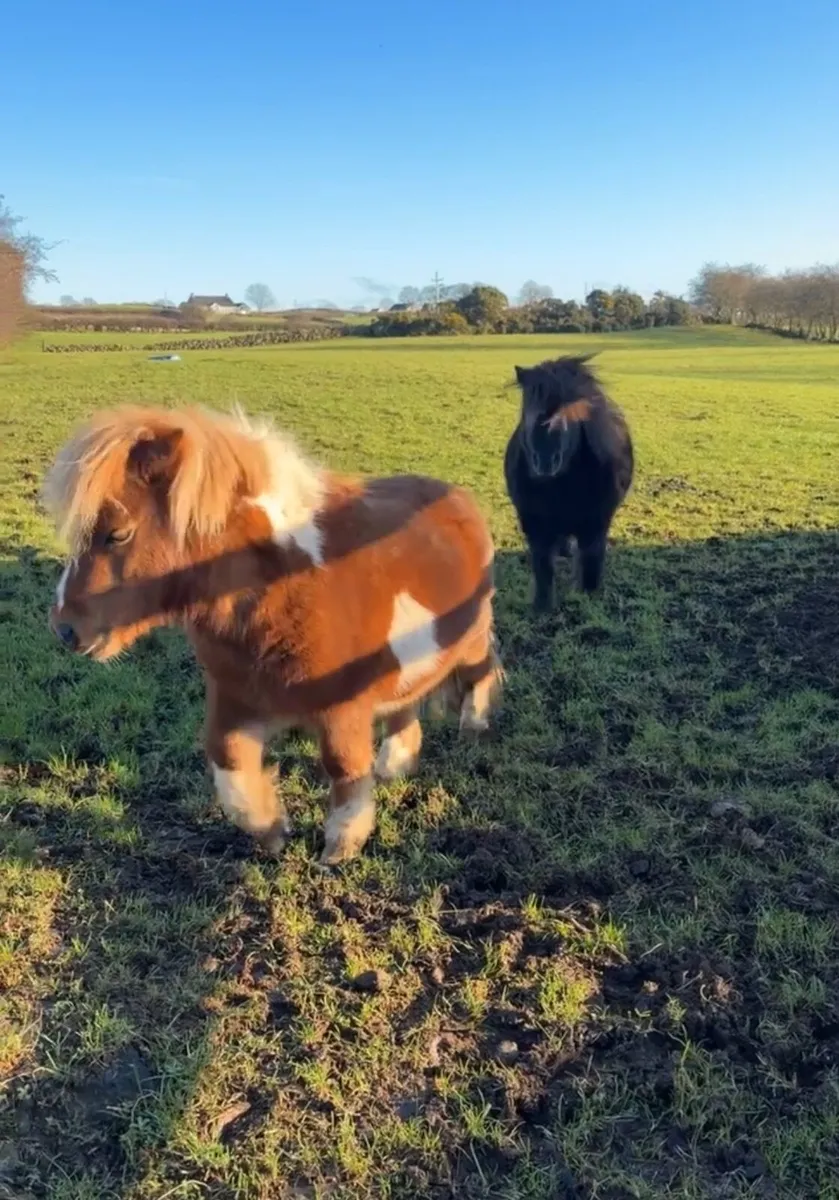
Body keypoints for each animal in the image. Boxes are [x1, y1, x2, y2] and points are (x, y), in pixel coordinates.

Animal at [42, 404, 504, 866]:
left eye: (118, 533)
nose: (64, 628)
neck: (286, 586)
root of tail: (460, 498)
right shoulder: (236, 698)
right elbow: (228, 765)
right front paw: (271, 830)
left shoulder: (343, 710)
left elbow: (345, 768)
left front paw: (340, 846)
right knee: (404, 707)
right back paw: (395, 765)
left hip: (470, 639)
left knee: (480, 672)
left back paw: (473, 724)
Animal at [503, 355, 633, 609]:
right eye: (527, 407)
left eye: (573, 409)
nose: (545, 461)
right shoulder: (534, 523)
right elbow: (543, 565)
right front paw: (542, 606)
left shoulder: (596, 523)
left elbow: (592, 558)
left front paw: (589, 596)